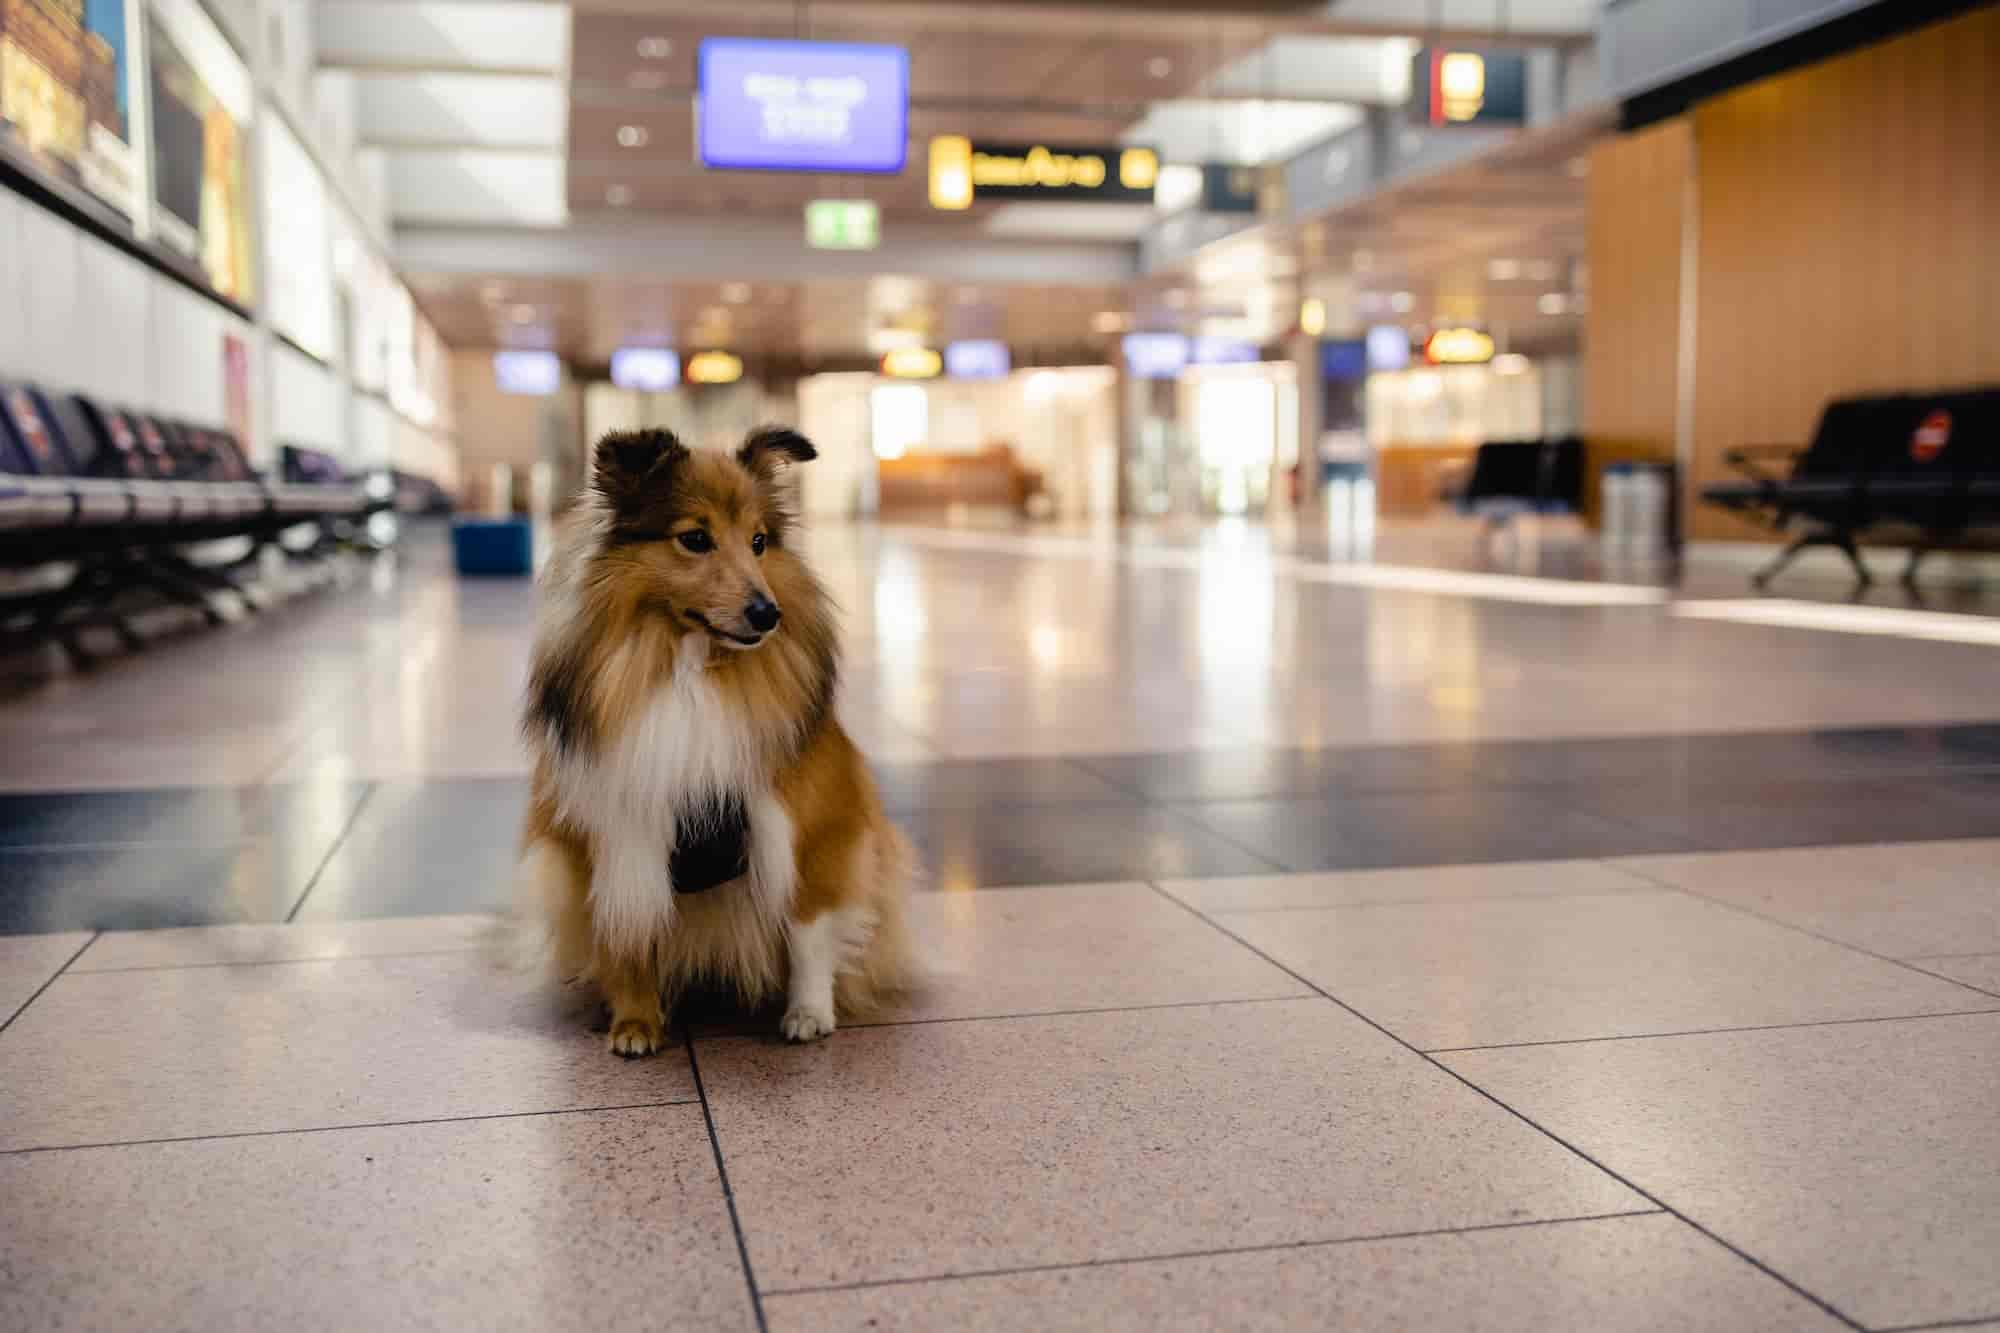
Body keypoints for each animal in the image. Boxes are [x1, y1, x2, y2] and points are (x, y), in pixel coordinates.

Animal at [516, 422, 920, 1048]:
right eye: (694, 539)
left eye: (758, 541)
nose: (767, 614)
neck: (691, 665)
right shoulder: (615, 830)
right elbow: (626, 928)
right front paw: (635, 1021)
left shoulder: (812, 824)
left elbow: (808, 928)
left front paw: (809, 1014)